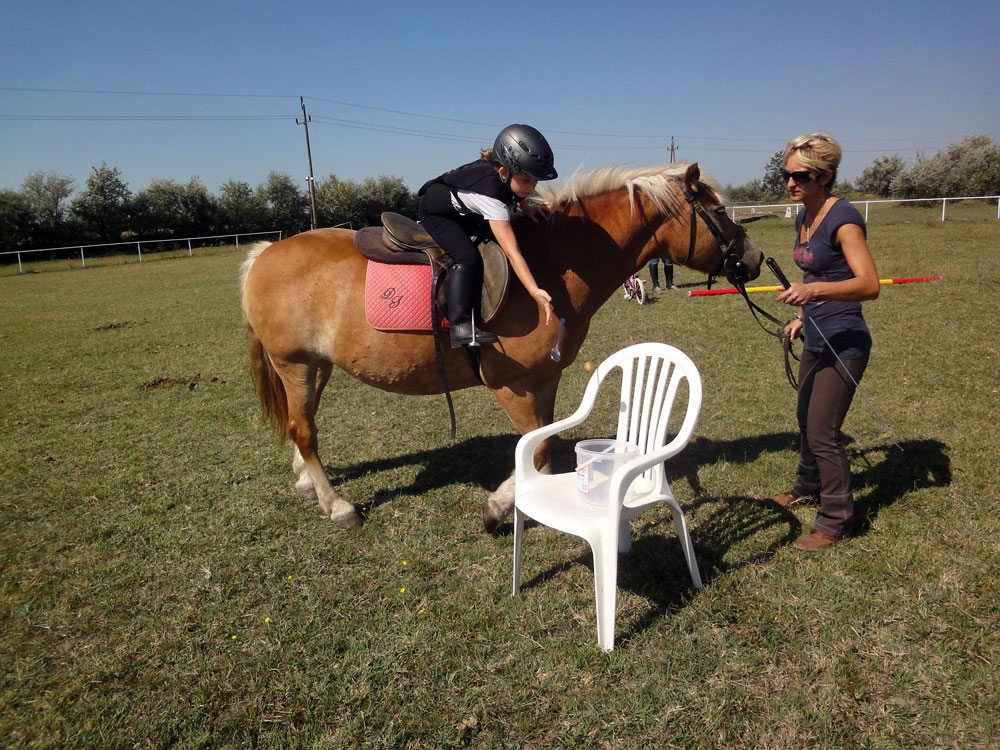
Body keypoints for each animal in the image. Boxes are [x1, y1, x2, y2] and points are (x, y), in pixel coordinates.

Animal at [244, 162, 764, 532]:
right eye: (719, 212)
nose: (756, 258)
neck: (553, 263)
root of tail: (265, 253)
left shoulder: (547, 378)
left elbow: (545, 444)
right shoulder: (511, 384)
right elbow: (535, 447)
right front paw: (499, 505)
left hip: (316, 366)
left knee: (301, 425)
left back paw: (306, 483)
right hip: (295, 364)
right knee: (304, 431)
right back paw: (337, 506)